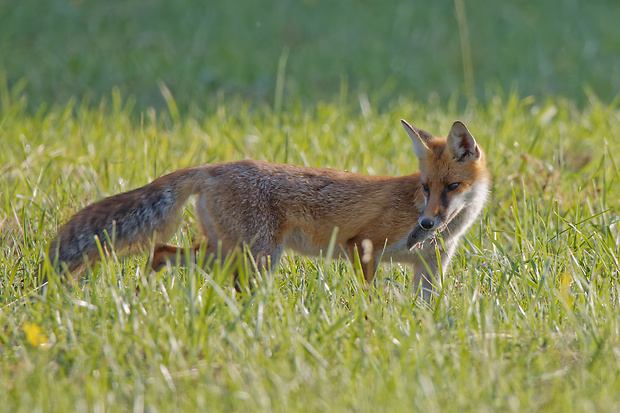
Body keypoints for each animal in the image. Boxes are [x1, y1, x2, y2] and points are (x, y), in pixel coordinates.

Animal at [46, 117, 490, 298]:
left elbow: (427, 310)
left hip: (225, 253)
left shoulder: (429, 268)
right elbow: (370, 297)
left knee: (160, 252)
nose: (427, 223)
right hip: (258, 257)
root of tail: (216, 166)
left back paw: (148, 298)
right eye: (425, 188)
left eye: (452, 187)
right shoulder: (362, 244)